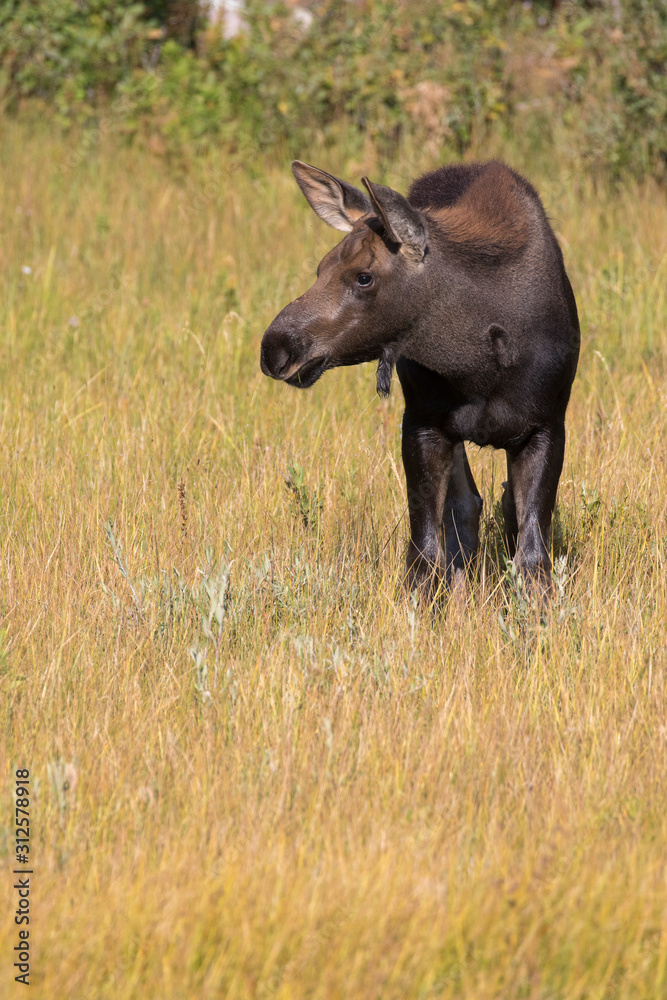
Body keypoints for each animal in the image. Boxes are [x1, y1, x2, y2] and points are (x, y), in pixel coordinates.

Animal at [260, 158, 580, 592]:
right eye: (320, 268)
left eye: (364, 276)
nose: (275, 347)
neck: (480, 367)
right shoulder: (423, 423)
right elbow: (425, 555)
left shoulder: (546, 425)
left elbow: (532, 557)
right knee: (464, 509)